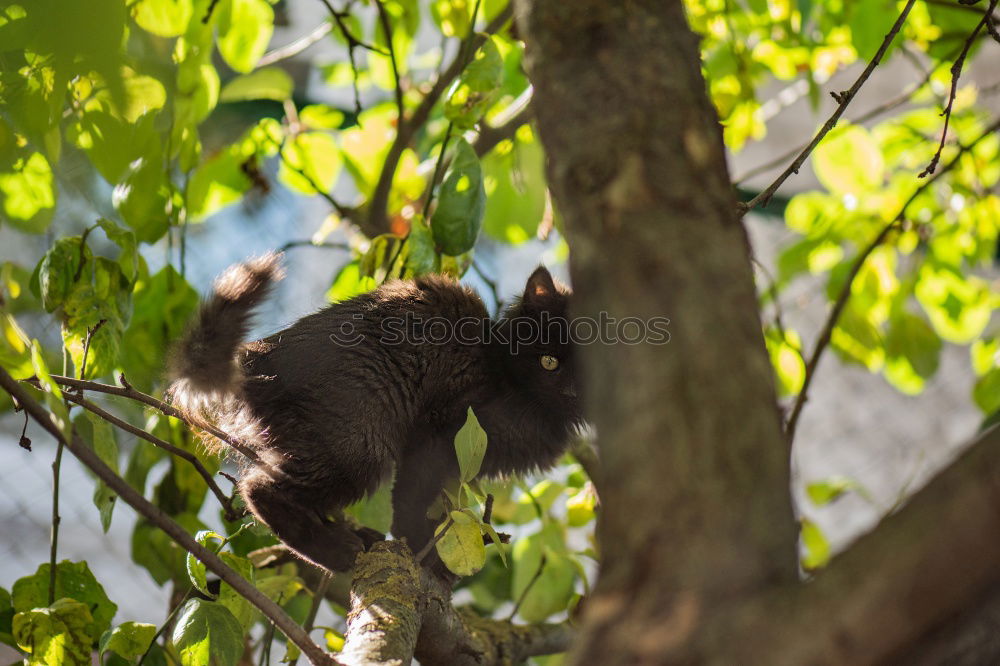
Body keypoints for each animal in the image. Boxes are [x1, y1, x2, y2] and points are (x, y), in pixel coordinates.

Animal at [169, 254, 584, 572]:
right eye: (549, 361)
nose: (571, 391)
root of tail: (253, 357)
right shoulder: (438, 432)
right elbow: (412, 500)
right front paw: (421, 549)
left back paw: (352, 535)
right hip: (359, 444)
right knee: (259, 489)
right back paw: (335, 551)